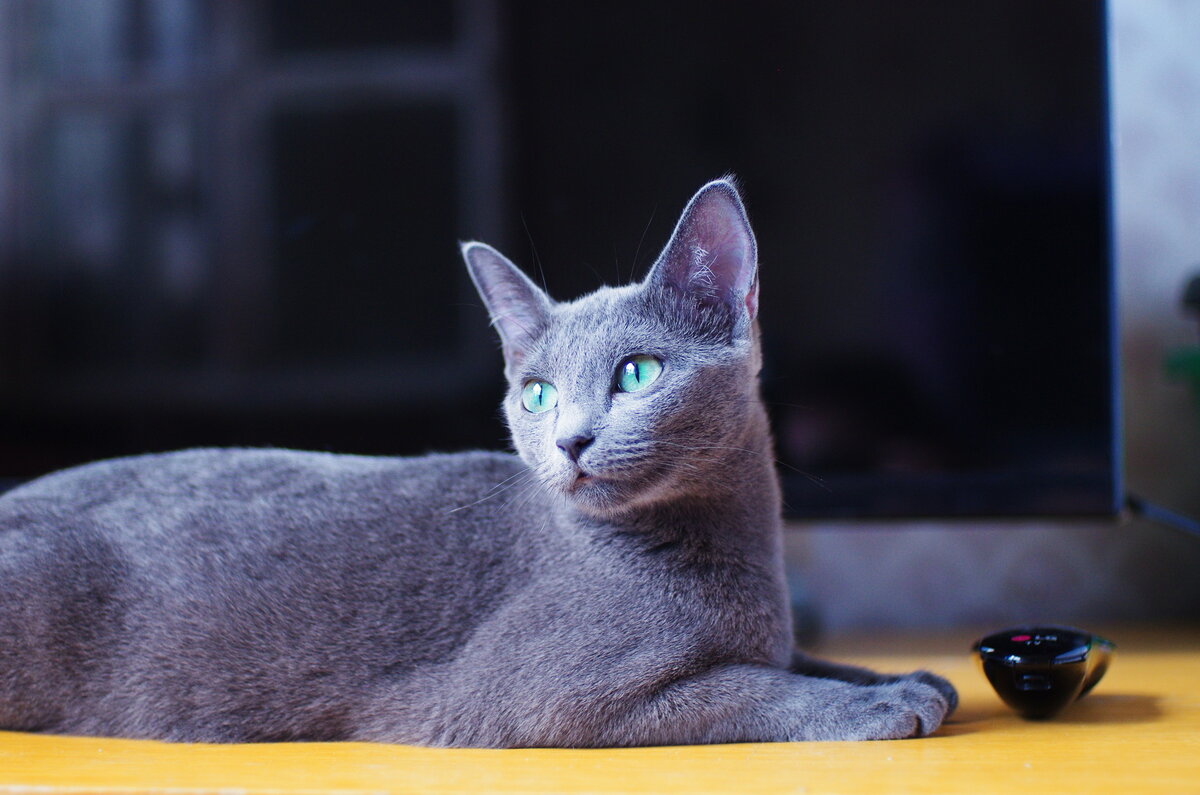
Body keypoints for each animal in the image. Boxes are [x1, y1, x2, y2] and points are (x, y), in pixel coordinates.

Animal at [0, 180, 955, 749]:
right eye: (536, 393)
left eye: (636, 373)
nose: (570, 439)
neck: (738, 545)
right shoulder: (549, 695)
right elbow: (743, 687)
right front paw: (877, 704)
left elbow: (800, 658)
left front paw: (908, 675)